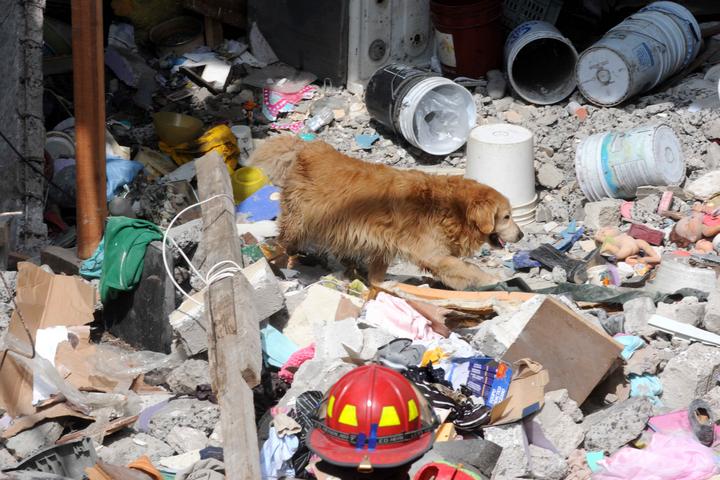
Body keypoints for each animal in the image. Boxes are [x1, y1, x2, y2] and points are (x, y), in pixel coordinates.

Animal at [247, 135, 523, 290]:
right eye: (506, 216)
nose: (521, 236)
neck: (452, 208)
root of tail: (305, 147)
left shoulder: (387, 245)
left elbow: (378, 277)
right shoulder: (434, 254)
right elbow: (469, 268)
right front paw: (491, 280)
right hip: (299, 220)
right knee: (285, 242)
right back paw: (285, 264)